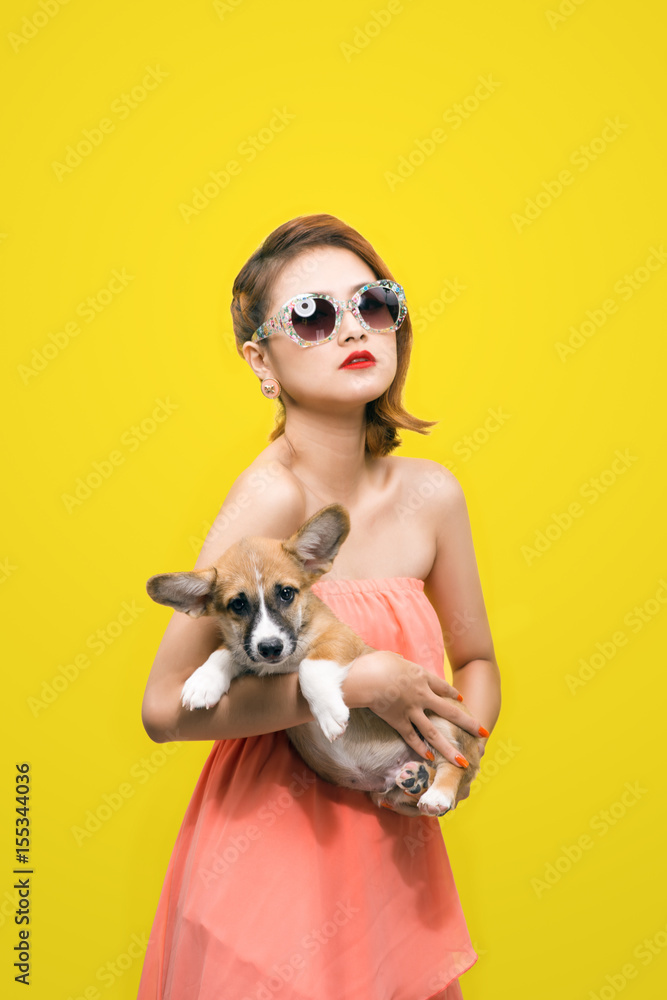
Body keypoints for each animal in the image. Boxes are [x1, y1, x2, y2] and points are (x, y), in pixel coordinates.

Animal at [146, 504, 482, 816]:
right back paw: (416, 776)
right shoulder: (248, 649)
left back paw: (437, 794)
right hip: (392, 793)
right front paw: (203, 682)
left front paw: (329, 712)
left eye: (286, 593)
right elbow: (226, 651)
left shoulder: (339, 638)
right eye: (238, 605)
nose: (271, 648)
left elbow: (311, 667)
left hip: (441, 721)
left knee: (456, 764)